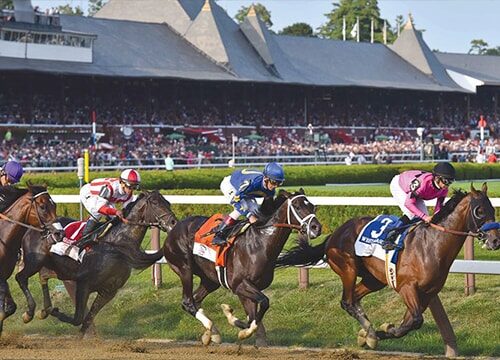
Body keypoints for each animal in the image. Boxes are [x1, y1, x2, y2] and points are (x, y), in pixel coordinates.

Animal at [17, 190, 178, 336]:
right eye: (155, 203)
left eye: (168, 203)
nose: (173, 222)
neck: (116, 244)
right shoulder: (84, 284)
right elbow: (78, 318)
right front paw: (55, 312)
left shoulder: (109, 290)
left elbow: (86, 320)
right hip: (35, 262)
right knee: (21, 277)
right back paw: (29, 313)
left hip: (59, 270)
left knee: (43, 275)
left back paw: (43, 310)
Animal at [162, 190, 322, 344]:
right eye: (297, 206)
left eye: (312, 206)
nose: (316, 228)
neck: (260, 243)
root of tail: (174, 228)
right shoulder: (239, 284)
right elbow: (263, 303)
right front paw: (234, 320)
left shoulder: (250, 289)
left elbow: (252, 318)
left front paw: (240, 325)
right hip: (184, 268)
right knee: (187, 302)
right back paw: (210, 326)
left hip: (210, 279)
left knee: (196, 299)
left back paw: (212, 332)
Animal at [276, 184, 498, 350]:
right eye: (479, 211)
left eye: (493, 210)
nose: (495, 240)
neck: (431, 245)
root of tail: (334, 234)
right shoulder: (407, 288)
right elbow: (415, 321)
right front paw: (380, 332)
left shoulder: (426, 294)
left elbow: (410, 323)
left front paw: (376, 333)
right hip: (347, 268)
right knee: (347, 301)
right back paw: (370, 331)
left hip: (374, 279)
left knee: (355, 299)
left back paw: (368, 331)